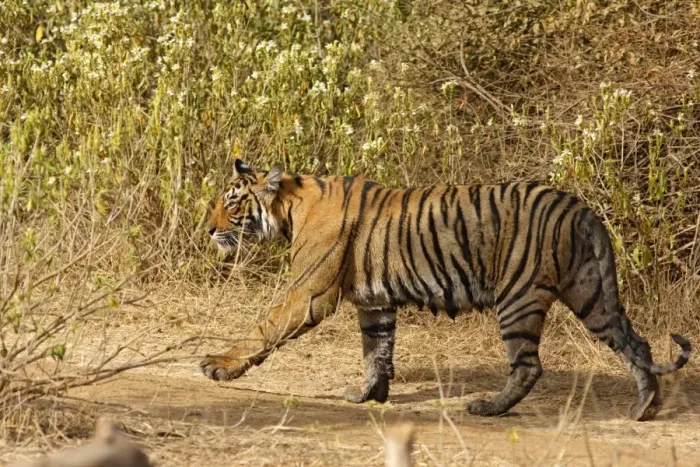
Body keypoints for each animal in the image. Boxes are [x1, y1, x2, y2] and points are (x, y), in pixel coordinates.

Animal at [200, 158, 691, 421]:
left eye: (232, 202)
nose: (208, 230)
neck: (290, 205)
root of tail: (580, 207)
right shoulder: (374, 302)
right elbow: (377, 350)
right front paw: (368, 395)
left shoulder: (309, 294)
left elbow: (264, 326)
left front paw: (218, 365)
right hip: (589, 292)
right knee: (636, 343)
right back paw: (645, 407)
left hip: (518, 297)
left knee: (529, 365)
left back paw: (489, 408)